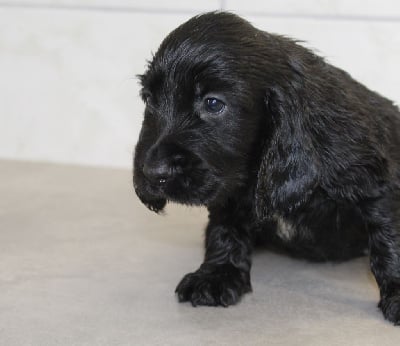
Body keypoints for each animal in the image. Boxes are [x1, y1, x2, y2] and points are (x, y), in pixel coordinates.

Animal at [133, 11, 400, 324]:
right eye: (148, 99)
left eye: (213, 103)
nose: (153, 173)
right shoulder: (229, 189)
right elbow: (224, 230)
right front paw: (216, 276)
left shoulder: (373, 180)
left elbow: (388, 240)